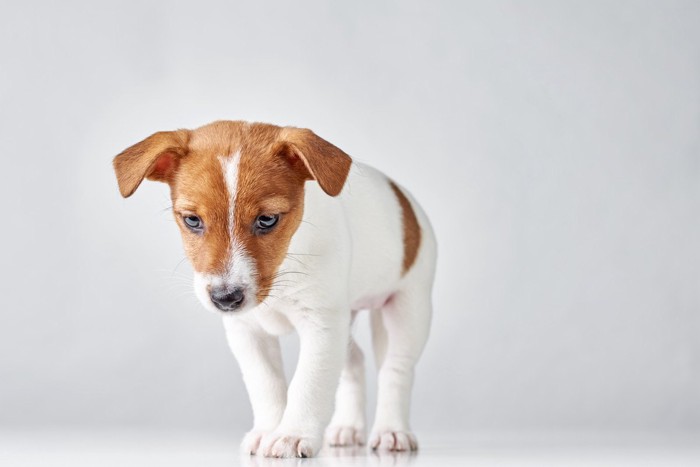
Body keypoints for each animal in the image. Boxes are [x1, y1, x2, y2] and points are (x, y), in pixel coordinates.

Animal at [112, 121, 434, 460]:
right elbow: (265, 383)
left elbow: (308, 384)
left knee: (395, 370)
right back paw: (348, 428)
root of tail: (404, 197)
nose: (225, 299)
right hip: (347, 321)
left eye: (267, 219)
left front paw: (292, 435)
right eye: (192, 220)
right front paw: (268, 431)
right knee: (355, 361)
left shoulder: (322, 327)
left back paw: (392, 431)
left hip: (407, 309)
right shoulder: (248, 331)